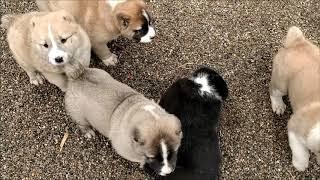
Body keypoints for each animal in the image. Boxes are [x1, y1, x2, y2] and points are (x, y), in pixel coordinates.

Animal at [270, 26, 320, 171]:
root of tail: (298, 42)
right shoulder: (294, 128)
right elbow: (301, 154)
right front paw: (299, 165)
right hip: (281, 83)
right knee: (274, 92)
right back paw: (278, 106)